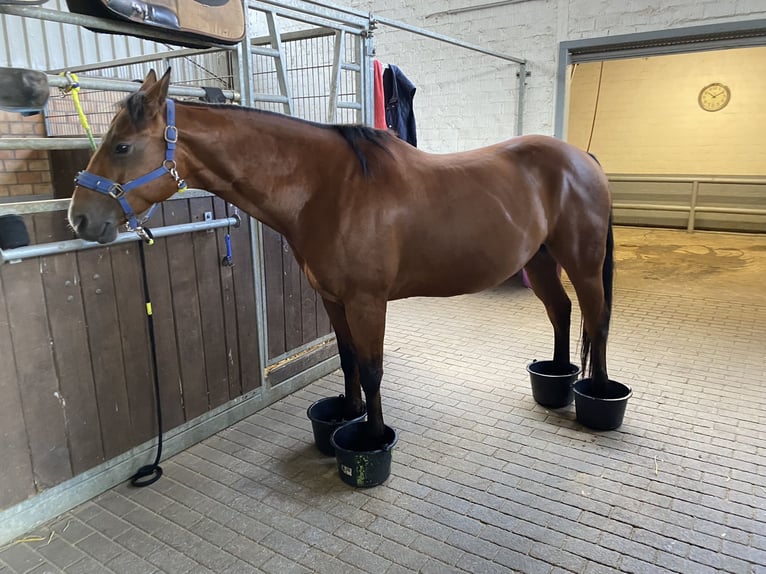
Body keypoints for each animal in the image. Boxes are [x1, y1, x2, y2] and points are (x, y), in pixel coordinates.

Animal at [68, 69, 615, 444]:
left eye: (121, 146)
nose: (78, 219)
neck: (328, 189)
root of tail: (582, 159)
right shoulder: (332, 298)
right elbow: (348, 358)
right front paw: (347, 413)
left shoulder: (367, 302)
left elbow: (372, 369)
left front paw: (372, 437)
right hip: (540, 260)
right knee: (562, 312)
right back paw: (557, 380)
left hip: (583, 265)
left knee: (597, 320)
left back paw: (598, 396)